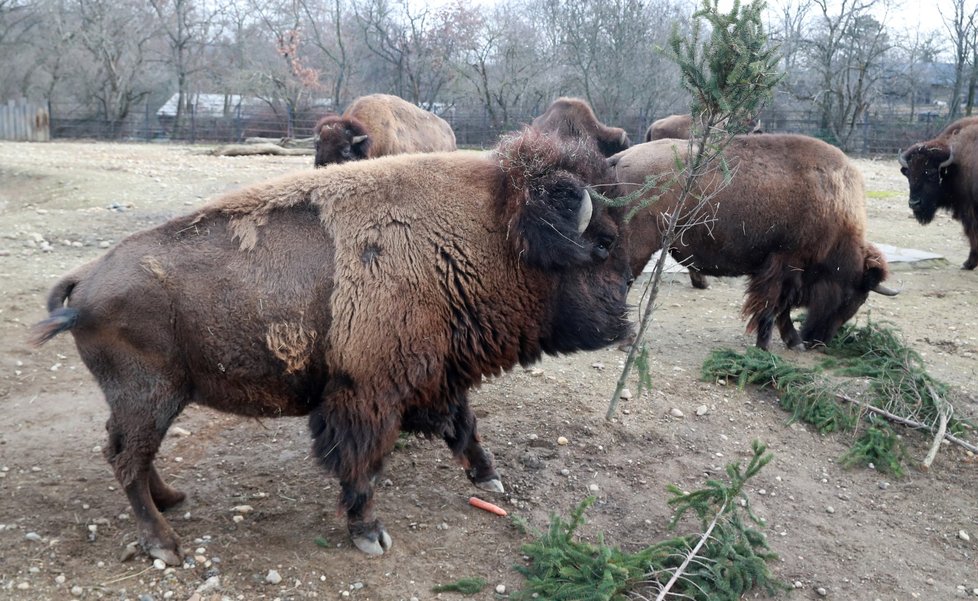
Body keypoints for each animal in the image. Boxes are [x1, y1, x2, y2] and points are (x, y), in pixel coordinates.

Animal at [30, 127, 632, 564]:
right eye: (602, 244)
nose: (621, 322)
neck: (486, 232)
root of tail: (86, 279)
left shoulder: (436, 373)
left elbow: (463, 427)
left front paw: (490, 478)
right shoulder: (367, 395)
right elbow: (362, 462)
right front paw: (370, 535)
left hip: (147, 400)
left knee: (127, 451)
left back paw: (171, 500)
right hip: (150, 396)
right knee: (126, 458)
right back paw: (165, 545)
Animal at [612, 134, 896, 350]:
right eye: (852, 296)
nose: (819, 341)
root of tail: (621, 158)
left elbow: (780, 308)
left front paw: (792, 342)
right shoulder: (784, 266)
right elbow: (772, 307)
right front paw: (766, 346)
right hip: (639, 246)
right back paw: (626, 340)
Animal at [896, 116, 976, 268]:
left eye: (932, 174)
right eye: (909, 174)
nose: (914, 203)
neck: (955, 167)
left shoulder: (969, 210)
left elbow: (972, 233)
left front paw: (968, 264)